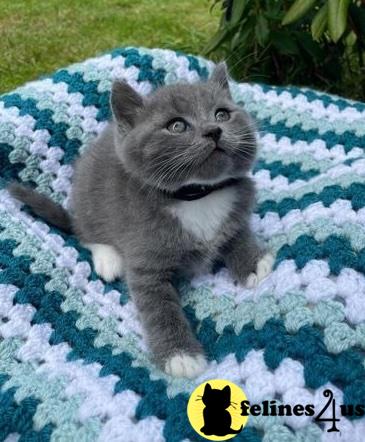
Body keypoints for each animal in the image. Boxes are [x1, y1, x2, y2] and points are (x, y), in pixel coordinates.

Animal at [9, 64, 272, 378]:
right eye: (177, 126)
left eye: (222, 114)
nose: (214, 130)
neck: (196, 195)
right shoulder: (145, 256)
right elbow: (158, 307)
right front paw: (180, 355)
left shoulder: (236, 205)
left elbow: (237, 232)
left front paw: (254, 262)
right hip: (88, 199)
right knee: (85, 232)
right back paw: (108, 259)